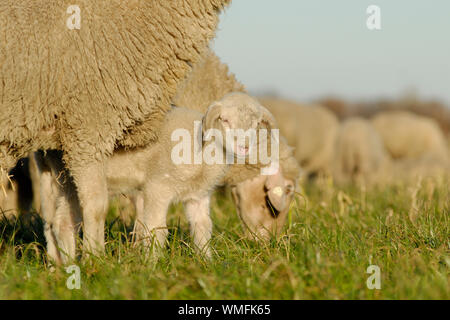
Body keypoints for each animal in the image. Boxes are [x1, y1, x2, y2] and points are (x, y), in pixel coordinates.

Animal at [36, 92, 278, 262]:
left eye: (256, 124)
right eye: (224, 120)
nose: (244, 146)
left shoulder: (197, 196)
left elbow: (202, 227)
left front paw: (206, 262)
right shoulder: (158, 186)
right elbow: (156, 229)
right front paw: (153, 264)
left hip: (58, 179)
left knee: (56, 221)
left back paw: (62, 265)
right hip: (73, 174)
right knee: (66, 221)